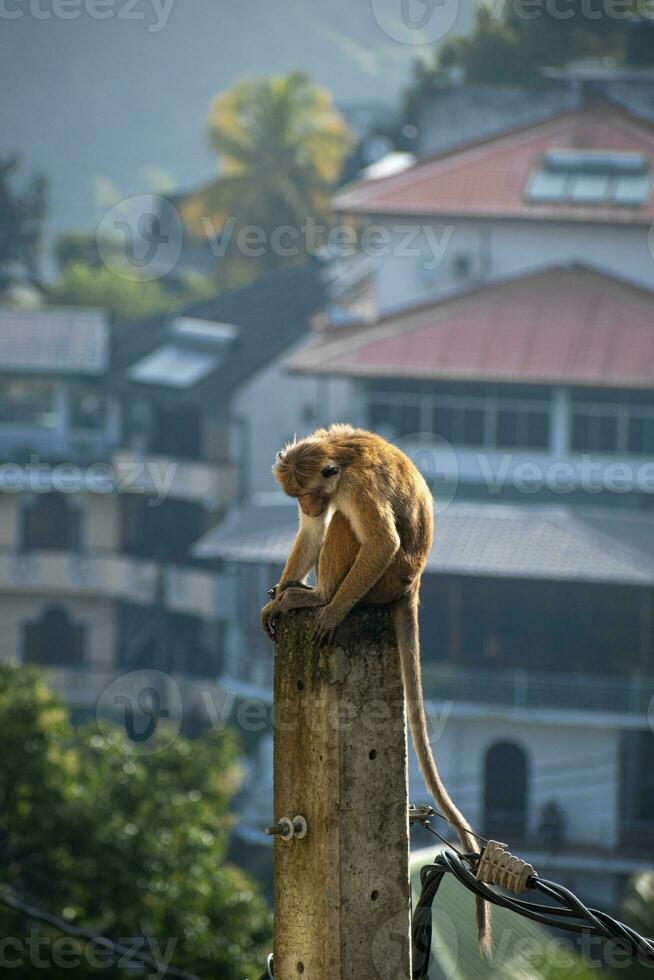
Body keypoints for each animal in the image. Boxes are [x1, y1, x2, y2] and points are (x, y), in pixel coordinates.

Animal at [262, 424, 492, 952]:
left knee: (351, 530)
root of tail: (412, 585)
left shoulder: (358, 488)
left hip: (385, 580)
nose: (308, 505)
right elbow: (311, 534)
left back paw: (319, 598)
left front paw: (327, 611)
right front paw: (278, 596)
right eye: (298, 497)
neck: (341, 459)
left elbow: (378, 540)